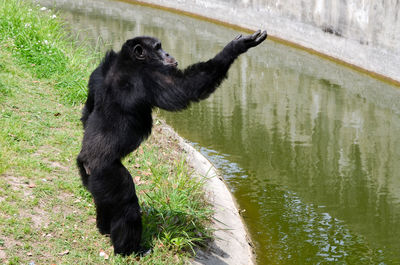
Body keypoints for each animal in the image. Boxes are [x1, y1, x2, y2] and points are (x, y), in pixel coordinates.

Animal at [76, 29, 268, 255]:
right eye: (158, 48)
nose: (167, 53)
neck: (128, 60)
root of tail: (86, 162)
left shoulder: (98, 71)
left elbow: (88, 109)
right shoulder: (152, 77)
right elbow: (187, 88)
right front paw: (237, 47)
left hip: (91, 178)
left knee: (104, 201)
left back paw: (104, 227)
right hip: (107, 174)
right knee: (126, 205)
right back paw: (130, 249)